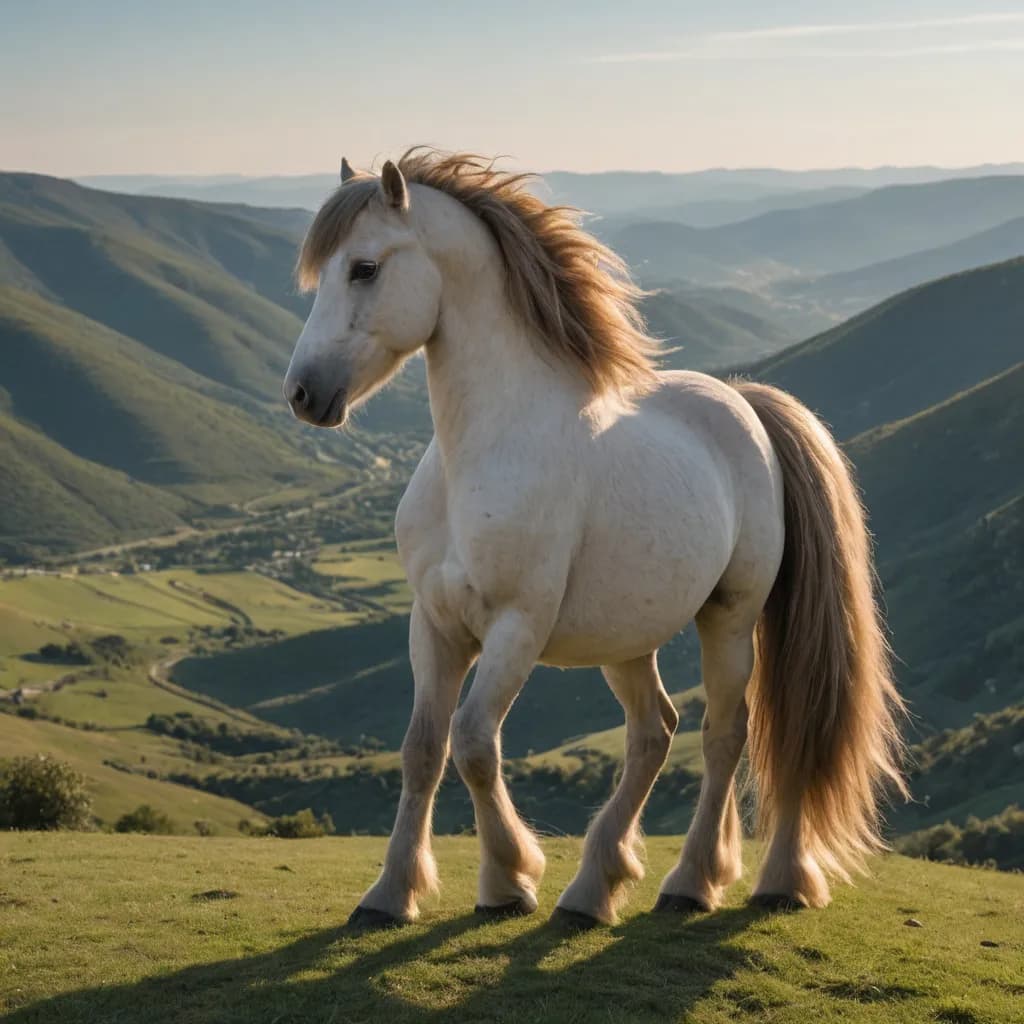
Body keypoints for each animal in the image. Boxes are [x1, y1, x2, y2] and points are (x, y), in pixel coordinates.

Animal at [283, 149, 907, 931]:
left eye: (364, 268)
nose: (303, 393)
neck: (480, 458)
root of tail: (745, 404)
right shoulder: (434, 624)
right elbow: (423, 749)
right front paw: (392, 893)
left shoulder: (517, 626)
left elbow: (474, 744)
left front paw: (510, 878)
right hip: (627, 637)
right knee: (655, 732)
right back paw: (595, 885)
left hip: (731, 618)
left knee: (728, 733)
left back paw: (719, 881)